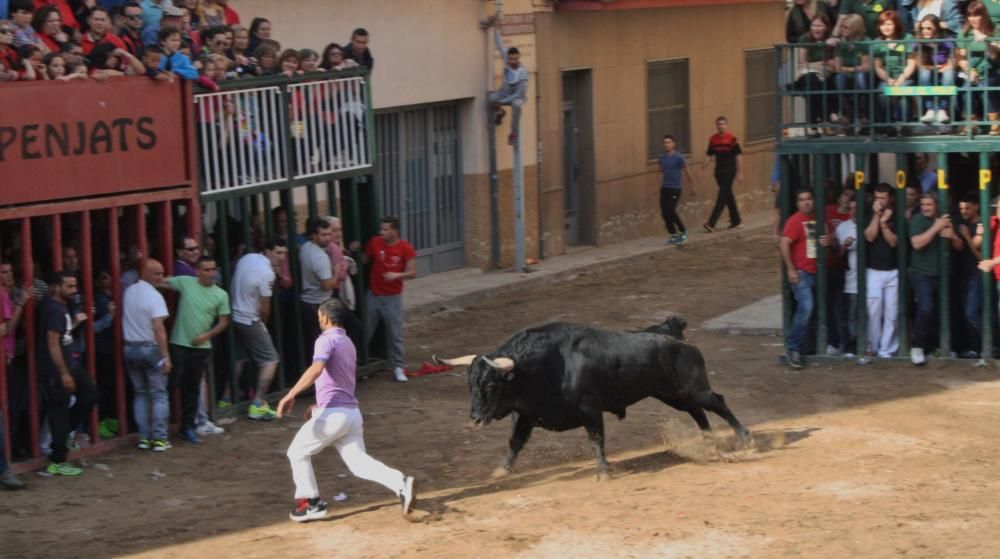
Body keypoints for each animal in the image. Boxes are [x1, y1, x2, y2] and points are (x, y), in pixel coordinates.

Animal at [436, 322, 752, 480]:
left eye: (490, 384)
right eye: (470, 385)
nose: (475, 418)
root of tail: (676, 336)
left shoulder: (589, 408)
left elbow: (596, 439)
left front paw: (603, 471)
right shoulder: (525, 414)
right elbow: (515, 442)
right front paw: (502, 470)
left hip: (691, 388)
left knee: (717, 402)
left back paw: (745, 439)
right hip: (672, 395)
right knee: (699, 412)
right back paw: (709, 441)